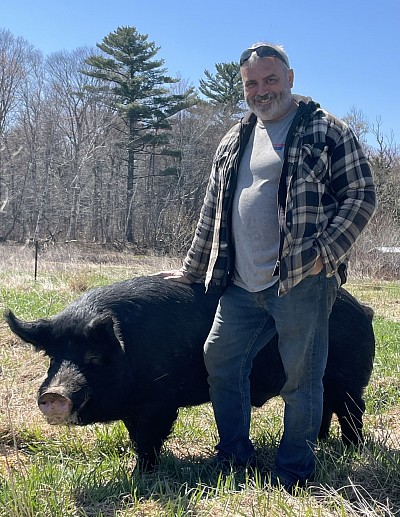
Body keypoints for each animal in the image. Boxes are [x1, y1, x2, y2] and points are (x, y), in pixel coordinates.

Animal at [3, 276, 376, 470]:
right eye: (53, 357)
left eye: (94, 357)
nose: (54, 394)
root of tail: (364, 309)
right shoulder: (134, 406)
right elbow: (135, 436)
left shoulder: (159, 402)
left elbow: (148, 438)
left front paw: (143, 474)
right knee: (324, 406)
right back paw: (323, 442)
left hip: (348, 379)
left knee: (352, 410)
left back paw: (351, 449)